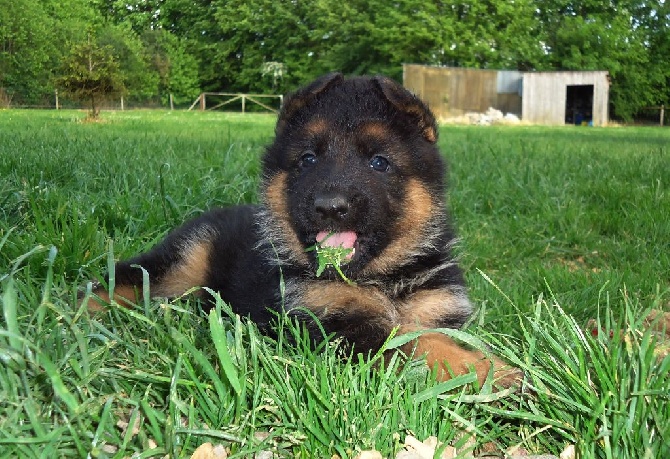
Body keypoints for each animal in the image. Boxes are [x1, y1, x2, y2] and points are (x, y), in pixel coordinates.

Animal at [86, 73, 524, 386]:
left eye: (379, 162)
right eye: (309, 159)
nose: (330, 207)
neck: (383, 278)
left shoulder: (439, 308)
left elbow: (432, 335)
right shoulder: (328, 320)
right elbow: (418, 342)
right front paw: (495, 372)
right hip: (182, 264)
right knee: (123, 278)